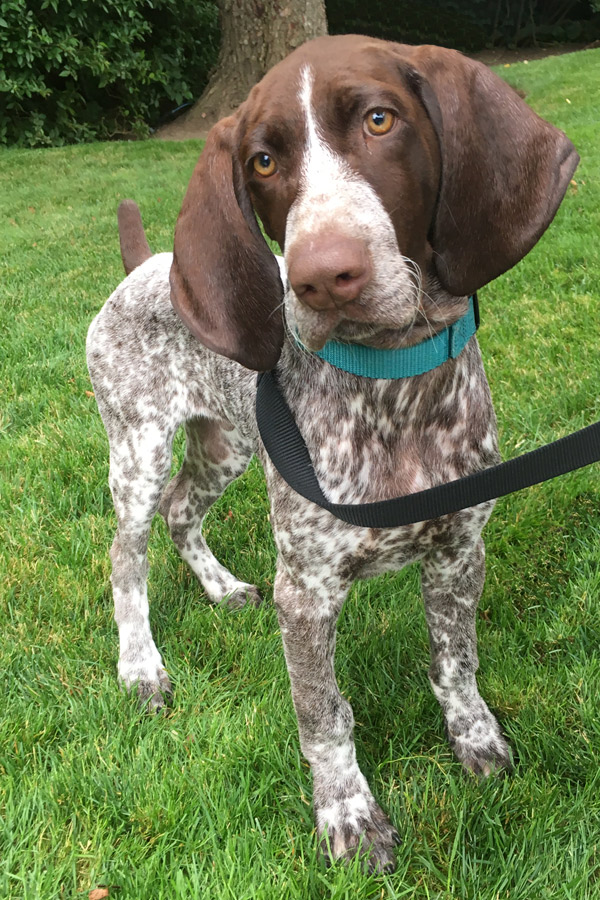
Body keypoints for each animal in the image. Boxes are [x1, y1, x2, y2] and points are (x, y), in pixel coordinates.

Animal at [86, 35, 580, 872]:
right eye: (261, 160)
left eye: (380, 120)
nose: (321, 276)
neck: (396, 385)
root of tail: (147, 265)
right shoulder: (308, 590)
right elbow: (323, 715)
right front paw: (347, 814)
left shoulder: (460, 547)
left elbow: (456, 661)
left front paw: (475, 738)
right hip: (139, 449)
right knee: (128, 556)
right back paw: (141, 667)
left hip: (228, 445)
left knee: (185, 512)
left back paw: (221, 589)